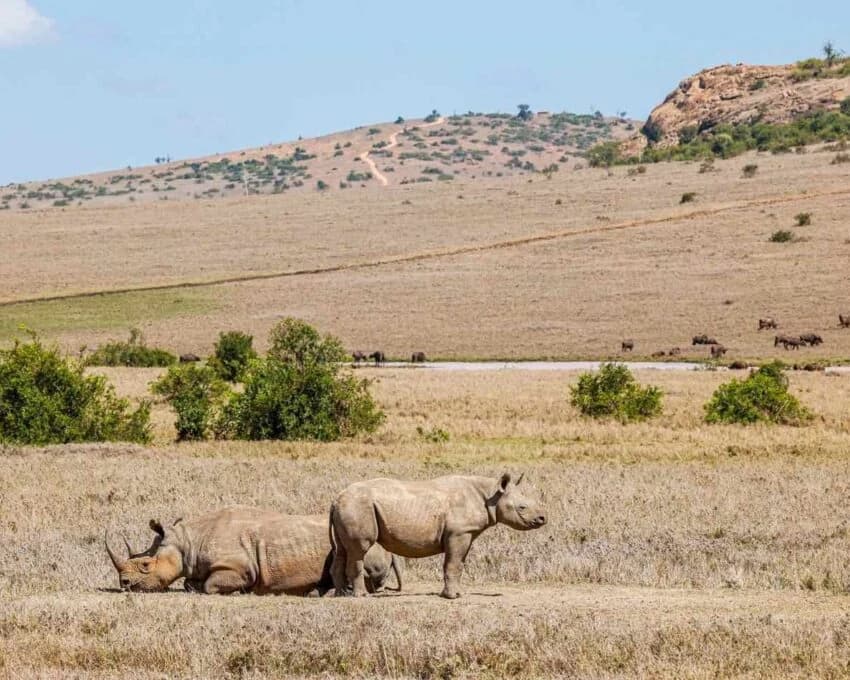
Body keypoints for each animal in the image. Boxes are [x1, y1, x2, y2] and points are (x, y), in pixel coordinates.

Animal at [105, 506, 401, 595]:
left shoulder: (241, 568)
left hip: (363, 544)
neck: (188, 541)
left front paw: (238, 591)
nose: (124, 584)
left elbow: (210, 585)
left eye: (145, 565)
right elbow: (191, 582)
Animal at [330, 473, 546, 600]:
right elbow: (452, 564)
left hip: (349, 507)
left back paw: (341, 594)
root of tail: (336, 499)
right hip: (358, 506)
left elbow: (459, 564)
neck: (491, 494)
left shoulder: (466, 533)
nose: (543, 518)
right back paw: (360, 596)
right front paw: (452, 597)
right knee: (359, 550)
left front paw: (458, 593)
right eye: (522, 508)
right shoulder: (459, 532)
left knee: (342, 550)